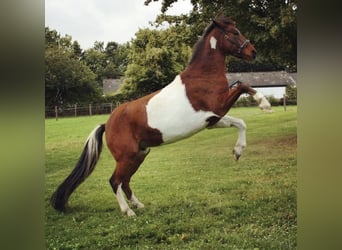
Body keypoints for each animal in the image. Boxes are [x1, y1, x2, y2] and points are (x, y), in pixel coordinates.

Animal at [50, 16, 272, 216]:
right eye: (234, 32)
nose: (253, 52)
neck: (202, 76)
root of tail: (107, 123)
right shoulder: (218, 106)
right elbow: (243, 85)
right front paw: (265, 104)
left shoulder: (213, 119)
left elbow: (240, 122)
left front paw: (238, 151)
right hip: (127, 157)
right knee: (115, 181)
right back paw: (128, 211)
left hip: (139, 154)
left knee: (125, 181)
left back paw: (139, 205)